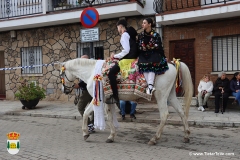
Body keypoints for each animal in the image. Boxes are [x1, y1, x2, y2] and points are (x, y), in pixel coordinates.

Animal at [54, 57, 193, 145]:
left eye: (61, 75)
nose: (64, 90)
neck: (92, 72)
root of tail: (172, 63)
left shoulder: (97, 99)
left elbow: (85, 113)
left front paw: (85, 133)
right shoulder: (108, 101)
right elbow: (110, 118)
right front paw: (111, 136)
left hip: (161, 96)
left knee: (164, 115)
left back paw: (154, 138)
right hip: (170, 96)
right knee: (181, 113)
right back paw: (186, 135)